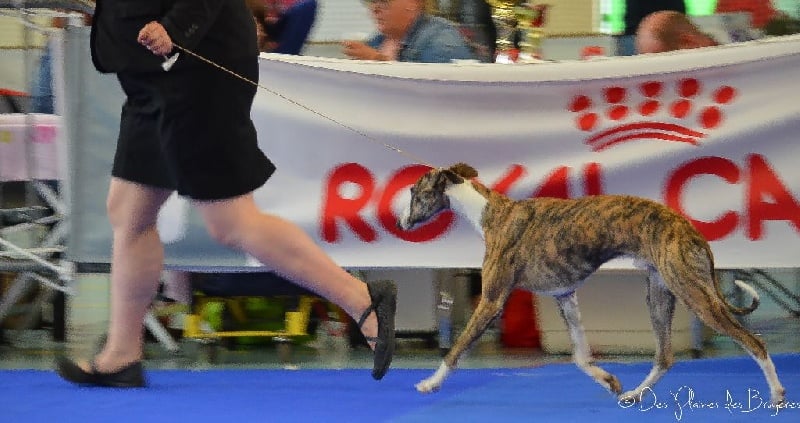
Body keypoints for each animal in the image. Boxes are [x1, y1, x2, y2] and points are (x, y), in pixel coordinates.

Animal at [396, 162, 784, 404]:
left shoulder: (492, 301)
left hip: (694, 294)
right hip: (659, 295)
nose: (401, 223)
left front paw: (430, 383)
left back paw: (777, 395)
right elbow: (580, 357)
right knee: (665, 356)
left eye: (415, 192)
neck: (491, 214)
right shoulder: (565, 296)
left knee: (755, 343)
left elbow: (456, 350)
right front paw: (610, 381)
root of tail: (689, 228)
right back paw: (634, 394)